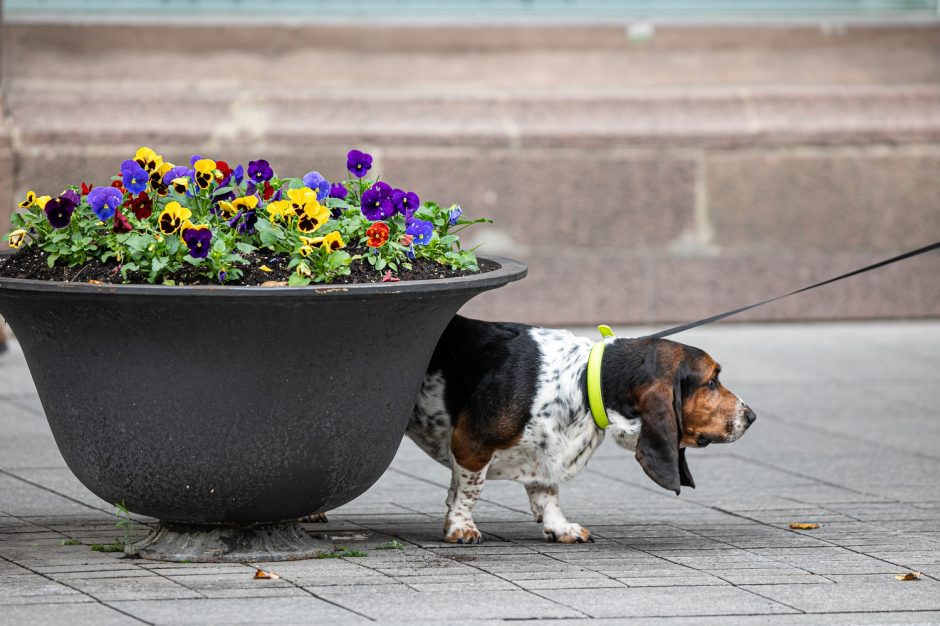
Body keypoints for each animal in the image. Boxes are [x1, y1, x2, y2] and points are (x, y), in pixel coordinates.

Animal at [406, 314, 756, 544]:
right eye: (710, 382)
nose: (751, 416)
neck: (585, 381)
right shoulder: (471, 445)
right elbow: (470, 490)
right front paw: (460, 526)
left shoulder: (544, 454)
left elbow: (547, 493)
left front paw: (559, 527)